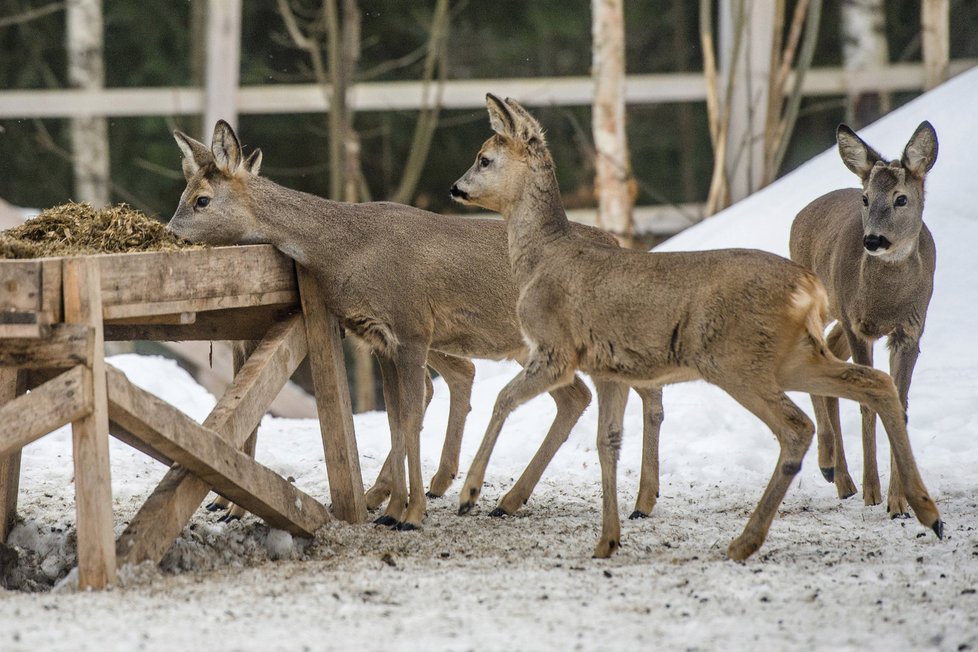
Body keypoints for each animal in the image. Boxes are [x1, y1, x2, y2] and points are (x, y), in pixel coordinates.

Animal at [172, 119, 668, 528]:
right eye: (182, 196)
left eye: (201, 200)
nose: (170, 233)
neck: (345, 249)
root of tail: (616, 242)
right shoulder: (379, 338)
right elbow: (396, 418)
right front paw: (394, 508)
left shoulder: (410, 327)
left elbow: (409, 415)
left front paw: (407, 514)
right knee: (577, 396)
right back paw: (509, 499)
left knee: (636, 388)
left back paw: (641, 500)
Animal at [784, 121, 936, 516]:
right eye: (865, 199)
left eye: (901, 198)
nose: (873, 240)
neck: (887, 301)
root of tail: (803, 212)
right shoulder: (859, 326)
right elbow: (868, 405)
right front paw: (873, 493)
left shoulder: (911, 331)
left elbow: (899, 407)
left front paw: (899, 502)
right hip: (820, 299)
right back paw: (832, 470)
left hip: (837, 312)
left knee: (829, 355)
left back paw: (841, 479)